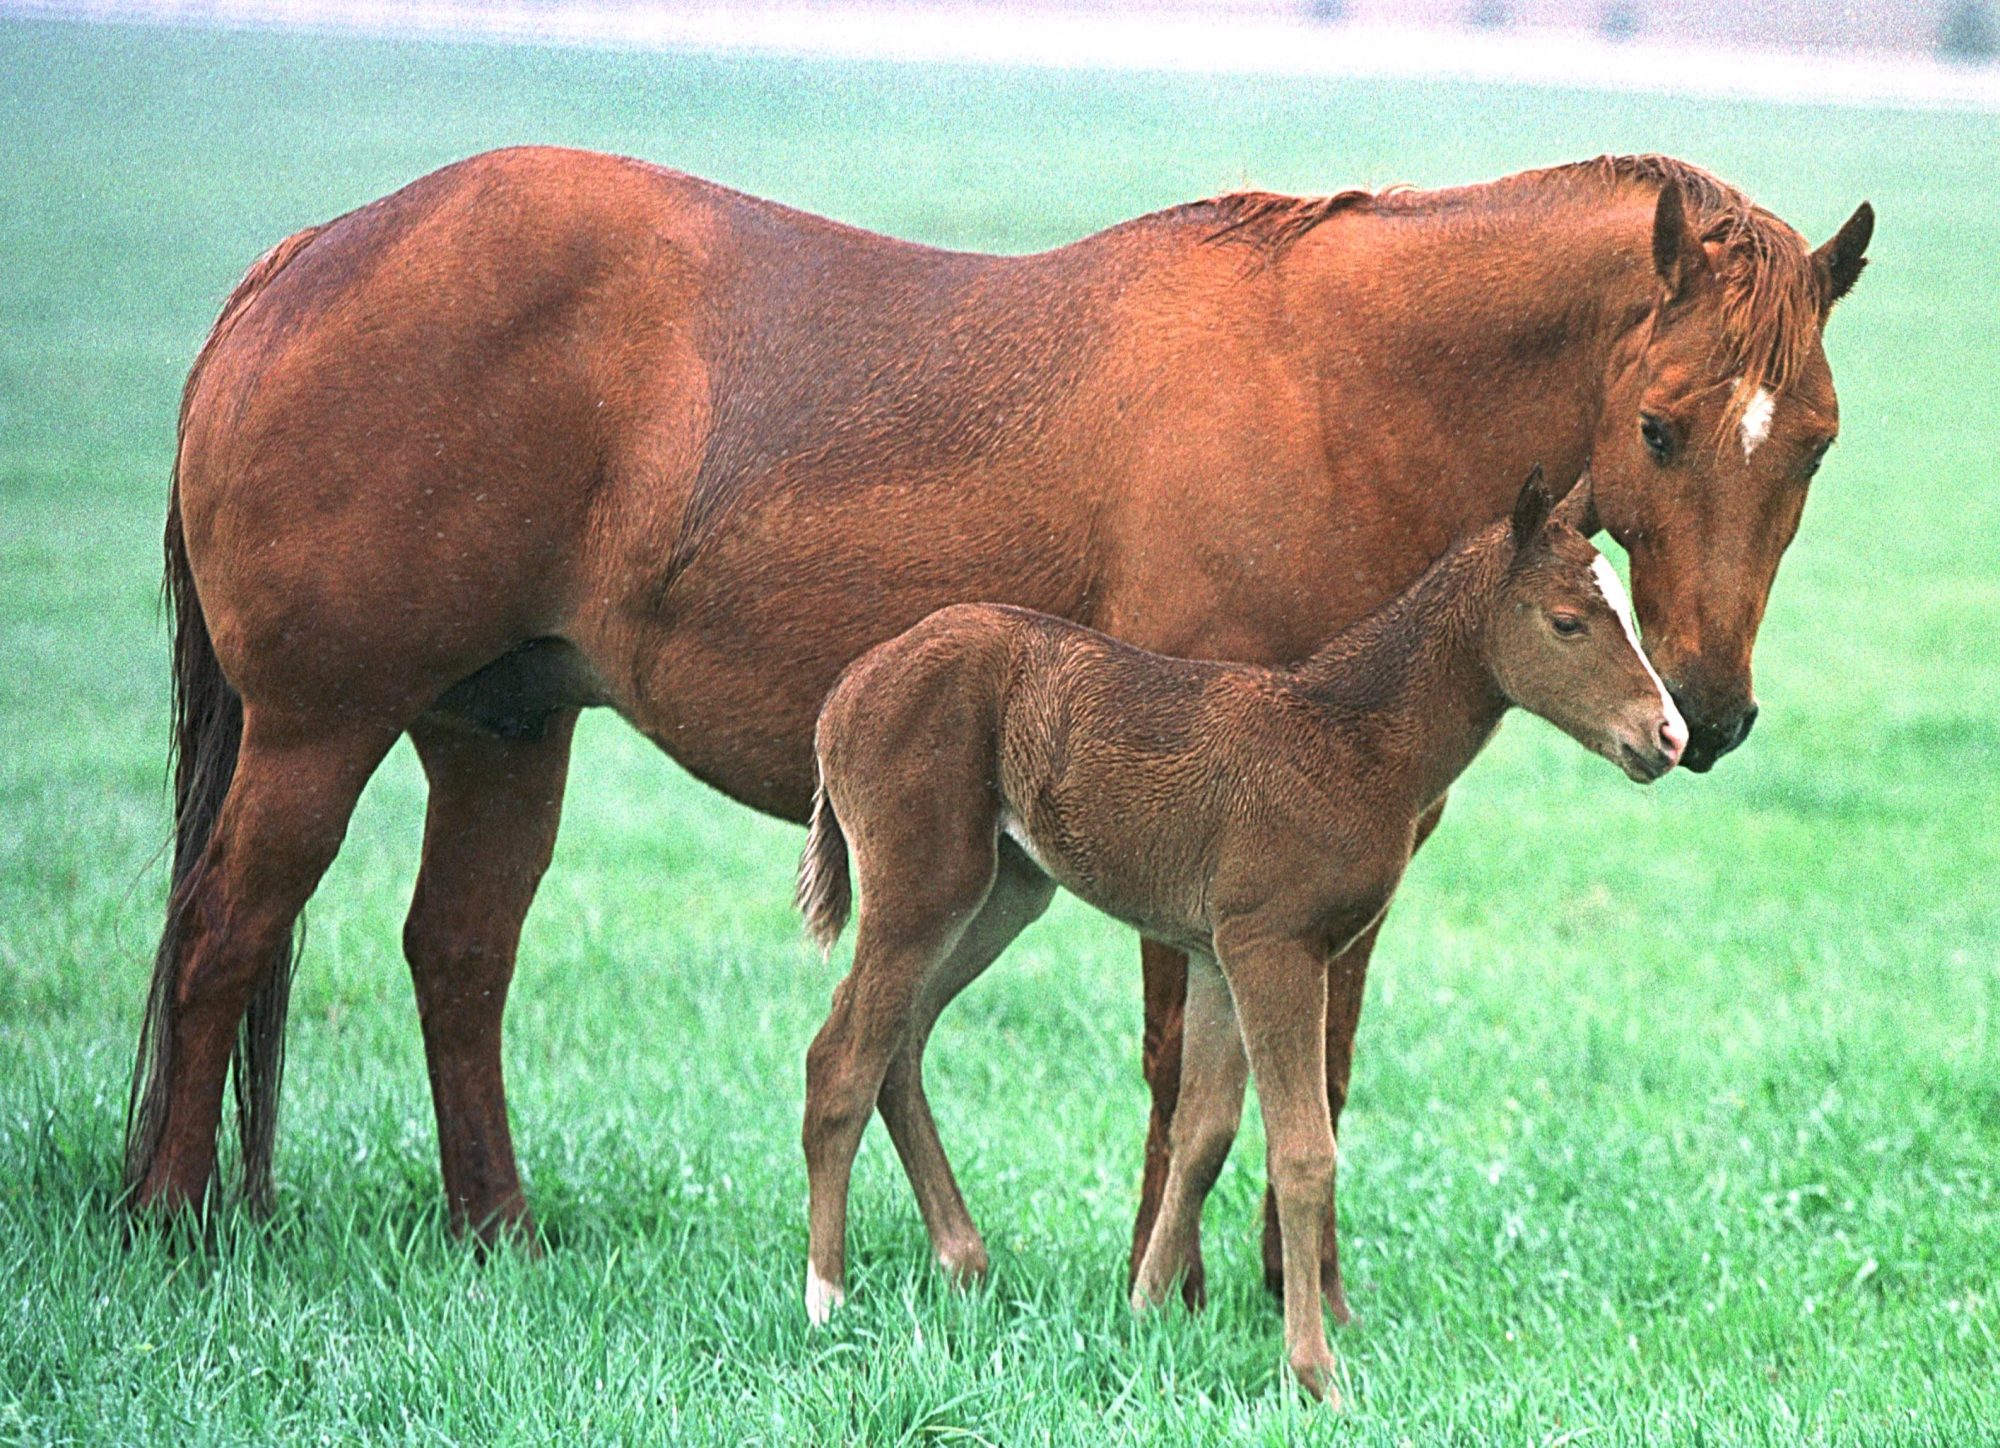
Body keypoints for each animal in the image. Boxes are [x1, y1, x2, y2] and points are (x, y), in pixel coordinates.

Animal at [795, 468, 1684, 1399]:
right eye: (1568, 622)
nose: (1668, 735)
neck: (1352, 738)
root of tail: (846, 690)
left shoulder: (1218, 952)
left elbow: (1203, 1133)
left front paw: (1146, 1310)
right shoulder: (1275, 947)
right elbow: (1301, 1151)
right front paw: (1314, 1372)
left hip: (1005, 892)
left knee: (900, 1044)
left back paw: (963, 1261)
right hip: (924, 886)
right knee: (843, 1057)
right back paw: (827, 1298)